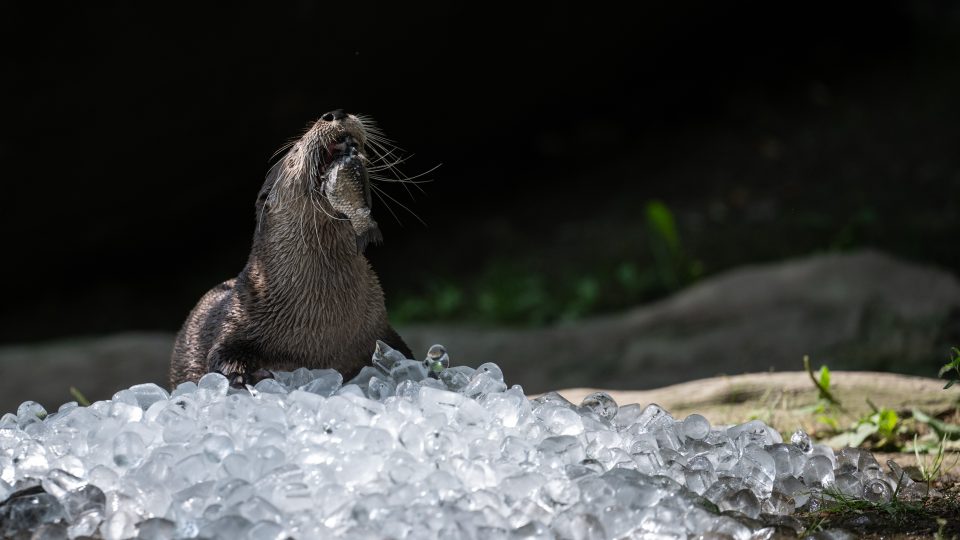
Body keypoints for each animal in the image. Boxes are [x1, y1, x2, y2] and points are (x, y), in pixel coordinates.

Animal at [171, 109, 410, 388]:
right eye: (295, 150)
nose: (335, 113)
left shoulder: (378, 326)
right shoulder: (239, 317)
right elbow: (221, 358)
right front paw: (247, 377)